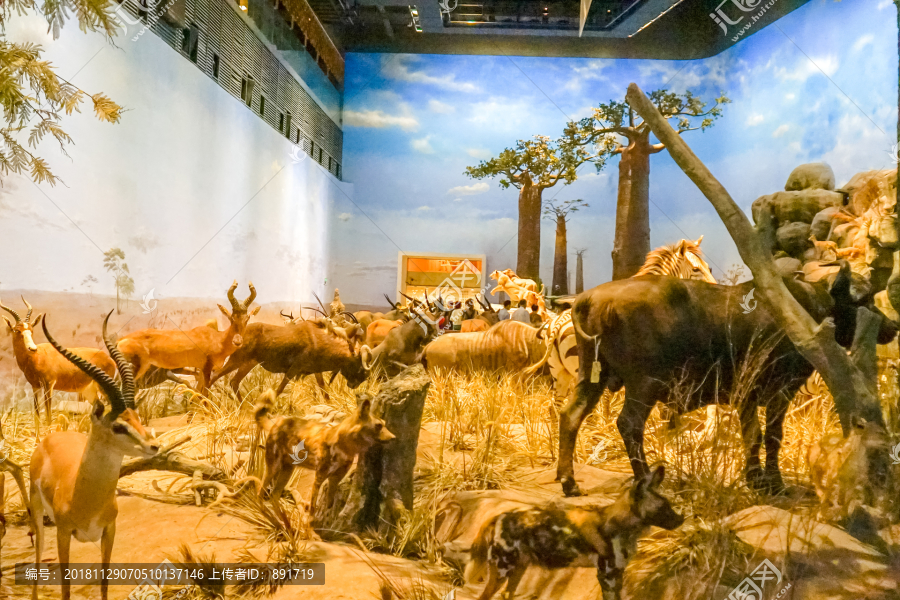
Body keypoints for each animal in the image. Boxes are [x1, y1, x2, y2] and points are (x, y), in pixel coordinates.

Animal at [31, 314, 162, 600]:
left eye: (136, 418)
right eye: (118, 426)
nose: (154, 446)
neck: (84, 496)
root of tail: (52, 437)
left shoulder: (109, 531)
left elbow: (103, 582)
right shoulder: (63, 533)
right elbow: (66, 587)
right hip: (37, 514)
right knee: (38, 552)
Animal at [116, 282, 256, 394]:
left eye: (247, 318)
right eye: (231, 318)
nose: (237, 341)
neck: (217, 337)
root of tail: (120, 341)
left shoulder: (202, 371)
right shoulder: (206, 368)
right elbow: (204, 394)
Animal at [253, 392, 394, 516]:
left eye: (384, 424)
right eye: (378, 426)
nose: (394, 437)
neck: (346, 447)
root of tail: (278, 422)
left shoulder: (335, 479)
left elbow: (329, 505)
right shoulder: (320, 477)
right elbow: (313, 507)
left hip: (287, 471)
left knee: (274, 496)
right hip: (273, 467)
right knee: (260, 492)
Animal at [464, 464, 684, 600]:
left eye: (669, 505)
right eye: (663, 508)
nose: (681, 519)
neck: (625, 527)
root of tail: (498, 517)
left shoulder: (617, 574)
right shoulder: (607, 575)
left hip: (519, 568)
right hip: (502, 570)